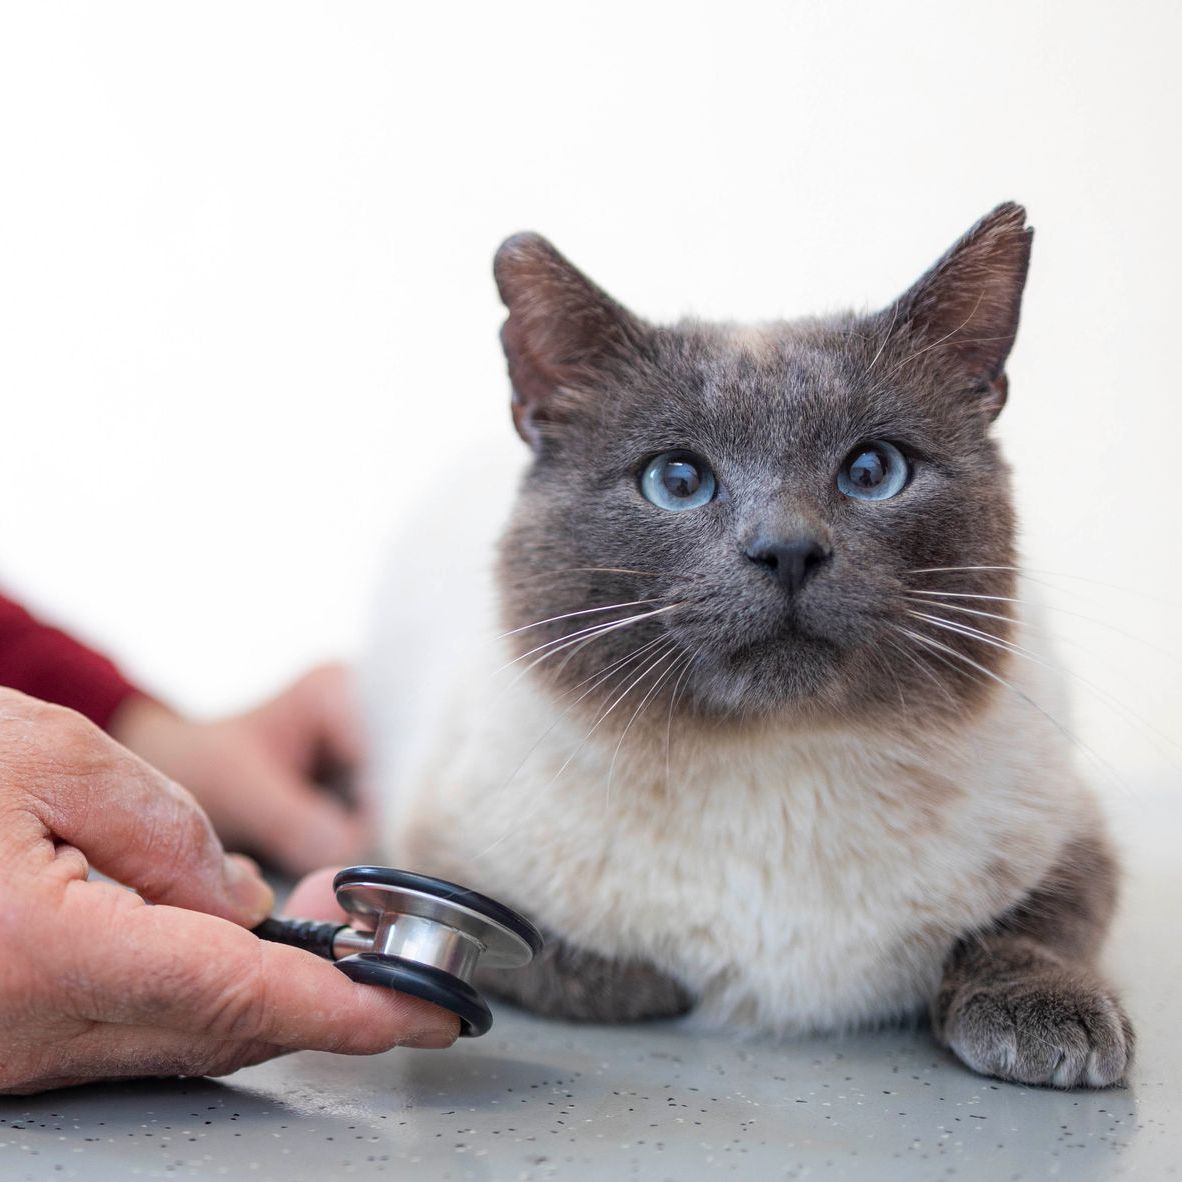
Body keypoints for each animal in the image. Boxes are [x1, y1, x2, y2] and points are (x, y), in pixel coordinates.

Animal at [361, 205, 1134, 1087]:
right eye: (677, 481)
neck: (780, 767)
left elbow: (1033, 925)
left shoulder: (1072, 833)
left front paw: (1050, 1021)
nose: (788, 549)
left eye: (873, 470)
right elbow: (566, 962)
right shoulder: (436, 847)